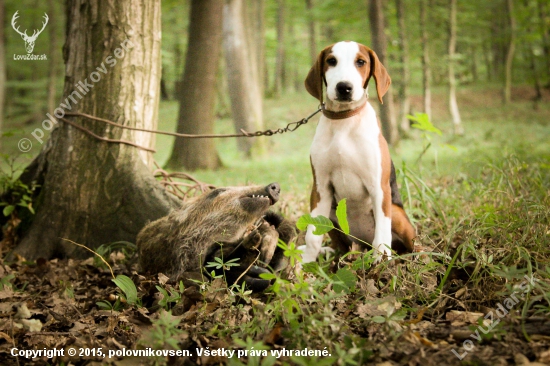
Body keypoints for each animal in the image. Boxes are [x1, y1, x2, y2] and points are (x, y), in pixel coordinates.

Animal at [300, 41, 416, 264]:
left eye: (361, 62)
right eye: (331, 61)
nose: (344, 87)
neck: (344, 120)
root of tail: (362, 243)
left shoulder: (379, 187)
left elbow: (382, 234)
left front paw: (381, 260)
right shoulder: (320, 188)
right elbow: (312, 236)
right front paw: (305, 264)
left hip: (396, 213)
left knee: (410, 243)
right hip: (332, 214)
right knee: (341, 247)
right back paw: (329, 252)